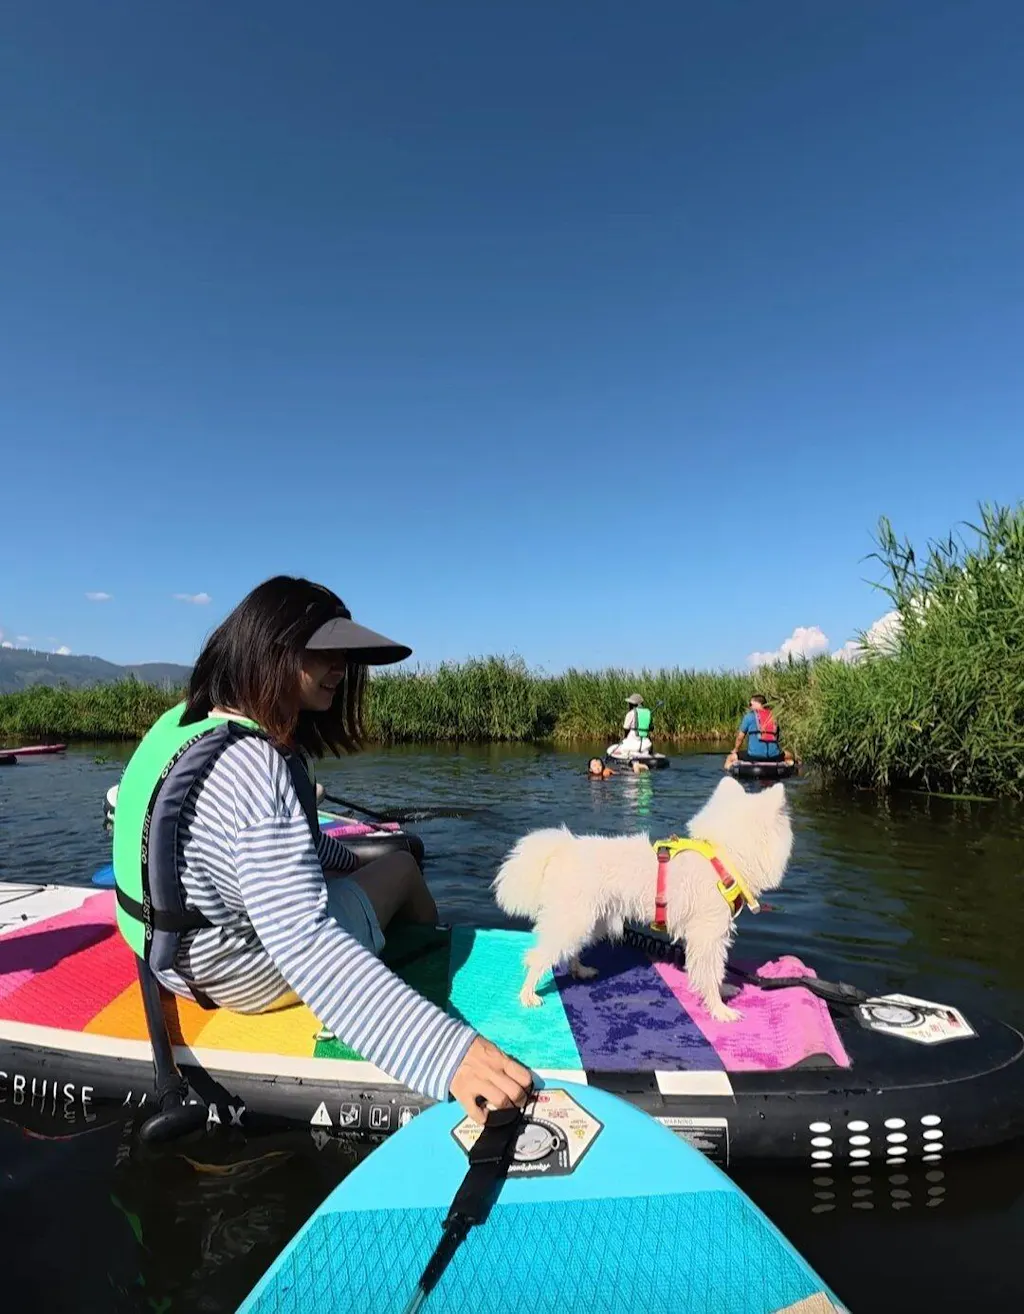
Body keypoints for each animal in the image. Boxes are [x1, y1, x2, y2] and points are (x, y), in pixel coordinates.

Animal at [492, 776, 792, 1022]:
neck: (722, 857)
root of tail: (563, 847)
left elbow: (709, 972)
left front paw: (725, 992)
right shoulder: (709, 934)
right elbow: (711, 972)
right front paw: (720, 1009)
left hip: (589, 920)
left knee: (570, 951)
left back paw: (581, 970)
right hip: (574, 920)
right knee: (536, 956)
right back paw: (528, 994)